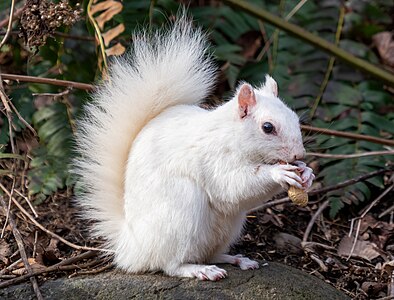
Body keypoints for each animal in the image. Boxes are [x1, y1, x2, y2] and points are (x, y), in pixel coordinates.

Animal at [74, 14, 314, 282]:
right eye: (268, 127)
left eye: (295, 118)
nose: (299, 155)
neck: (232, 136)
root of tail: (131, 247)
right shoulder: (214, 158)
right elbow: (233, 186)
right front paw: (279, 173)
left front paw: (307, 173)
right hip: (181, 211)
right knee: (170, 264)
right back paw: (198, 270)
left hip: (227, 227)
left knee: (209, 253)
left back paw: (235, 259)